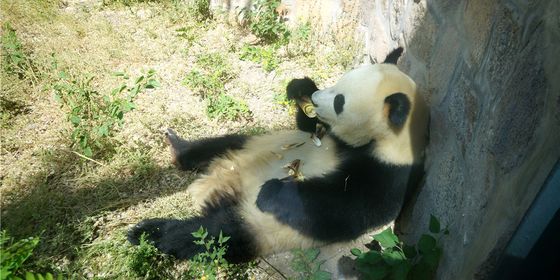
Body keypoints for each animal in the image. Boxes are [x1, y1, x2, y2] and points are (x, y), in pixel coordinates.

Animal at [129, 47, 430, 264]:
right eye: (339, 82)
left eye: (339, 101)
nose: (317, 99)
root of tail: (216, 189)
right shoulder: (328, 136)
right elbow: (307, 127)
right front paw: (301, 88)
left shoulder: (389, 174)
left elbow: (339, 205)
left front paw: (271, 191)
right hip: (252, 143)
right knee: (218, 144)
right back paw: (178, 148)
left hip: (257, 226)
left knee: (207, 234)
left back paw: (148, 232)